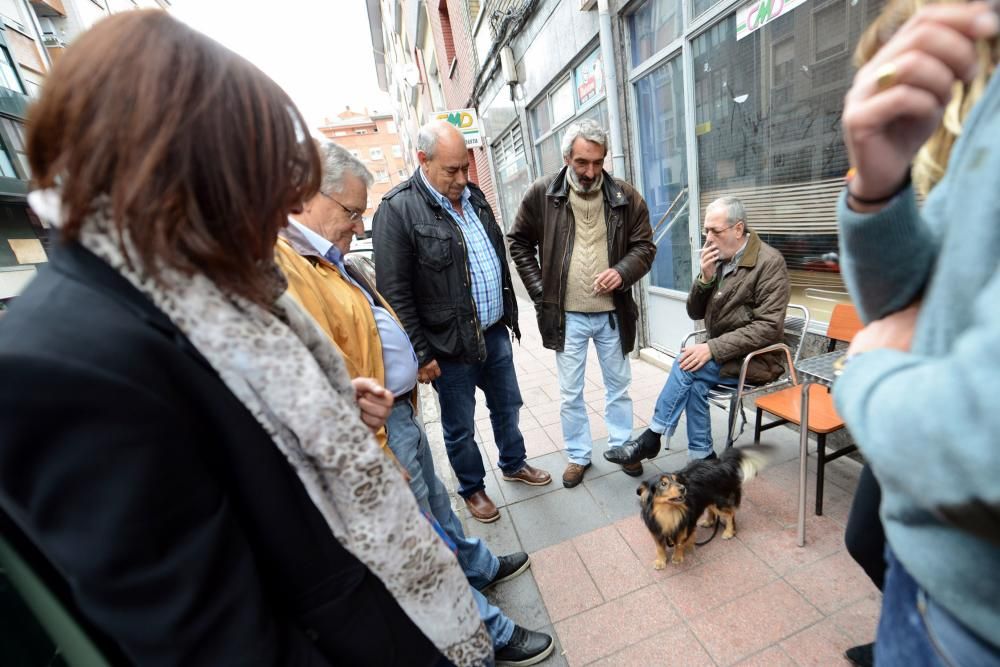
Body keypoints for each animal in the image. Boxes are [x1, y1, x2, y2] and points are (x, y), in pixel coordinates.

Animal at [636, 448, 768, 568]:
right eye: (663, 484)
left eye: (676, 480)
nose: (683, 488)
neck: (668, 511)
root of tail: (722, 463)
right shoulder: (656, 529)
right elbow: (659, 547)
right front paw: (660, 561)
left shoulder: (685, 525)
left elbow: (679, 543)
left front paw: (677, 557)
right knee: (712, 509)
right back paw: (709, 522)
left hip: (718, 502)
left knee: (730, 513)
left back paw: (729, 532)